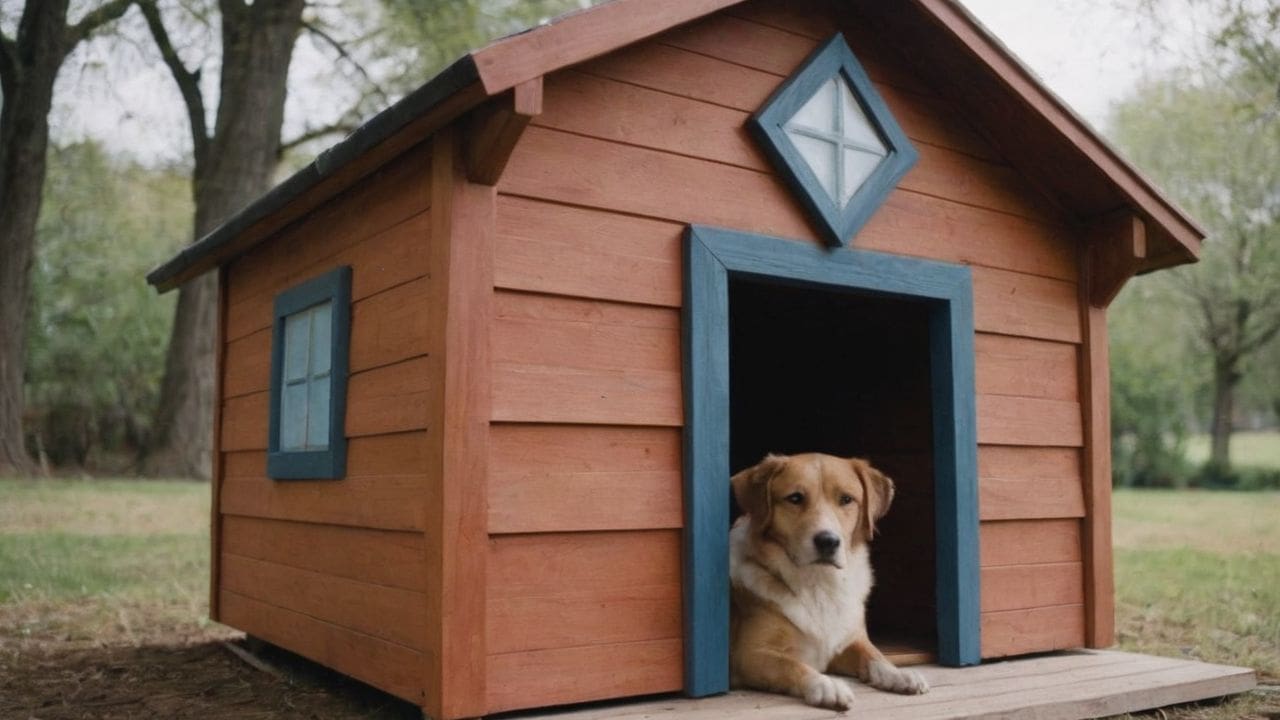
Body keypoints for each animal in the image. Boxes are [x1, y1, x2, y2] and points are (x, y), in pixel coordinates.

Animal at [732, 450, 931, 707]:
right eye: (795, 498)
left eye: (846, 499)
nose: (828, 541)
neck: (819, 584)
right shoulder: (749, 654)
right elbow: (792, 665)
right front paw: (826, 685)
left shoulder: (849, 642)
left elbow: (875, 655)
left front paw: (898, 674)